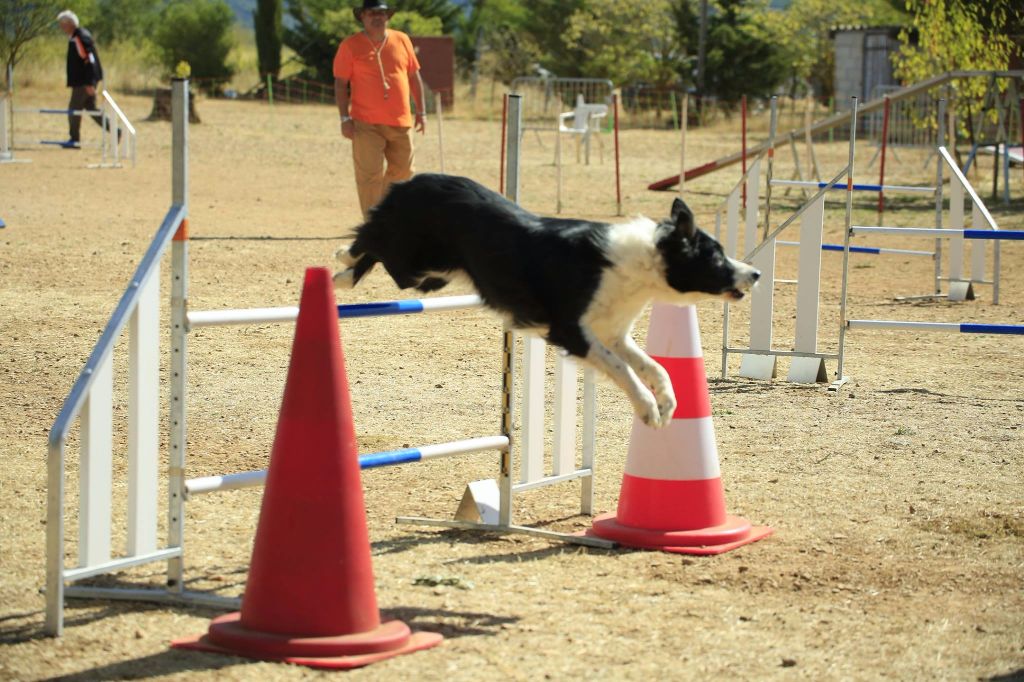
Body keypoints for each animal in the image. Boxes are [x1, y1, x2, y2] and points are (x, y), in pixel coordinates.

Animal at [331, 173, 757, 428]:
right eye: (716, 257)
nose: (754, 273)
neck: (639, 263)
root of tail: (413, 180)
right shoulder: (571, 331)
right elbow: (624, 370)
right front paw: (648, 409)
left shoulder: (613, 333)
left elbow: (654, 367)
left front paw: (667, 403)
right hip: (417, 265)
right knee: (372, 239)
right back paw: (342, 268)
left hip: (434, 275)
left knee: (378, 244)